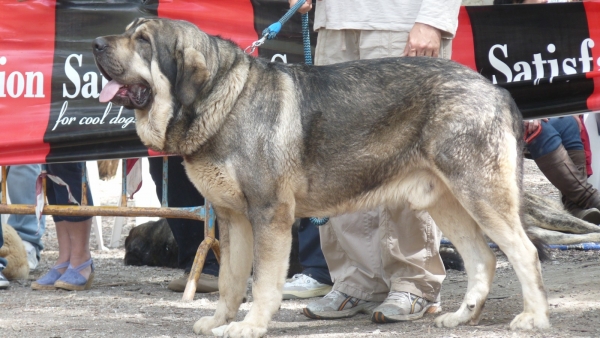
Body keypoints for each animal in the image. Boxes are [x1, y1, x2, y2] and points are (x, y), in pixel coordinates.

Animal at [92, 17, 548, 336]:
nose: (95, 44)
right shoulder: (232, 219)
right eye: (128, 33)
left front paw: (251, 325)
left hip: (481, 195)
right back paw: (462, 317)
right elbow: (229, 281)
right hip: (445, 201)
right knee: (483, 257)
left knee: (523, 253)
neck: (222, 100)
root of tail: (495, 89)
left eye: (143, 41)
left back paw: (533, 318)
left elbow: (263, 282)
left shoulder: (269, 216)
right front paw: (220, 320)